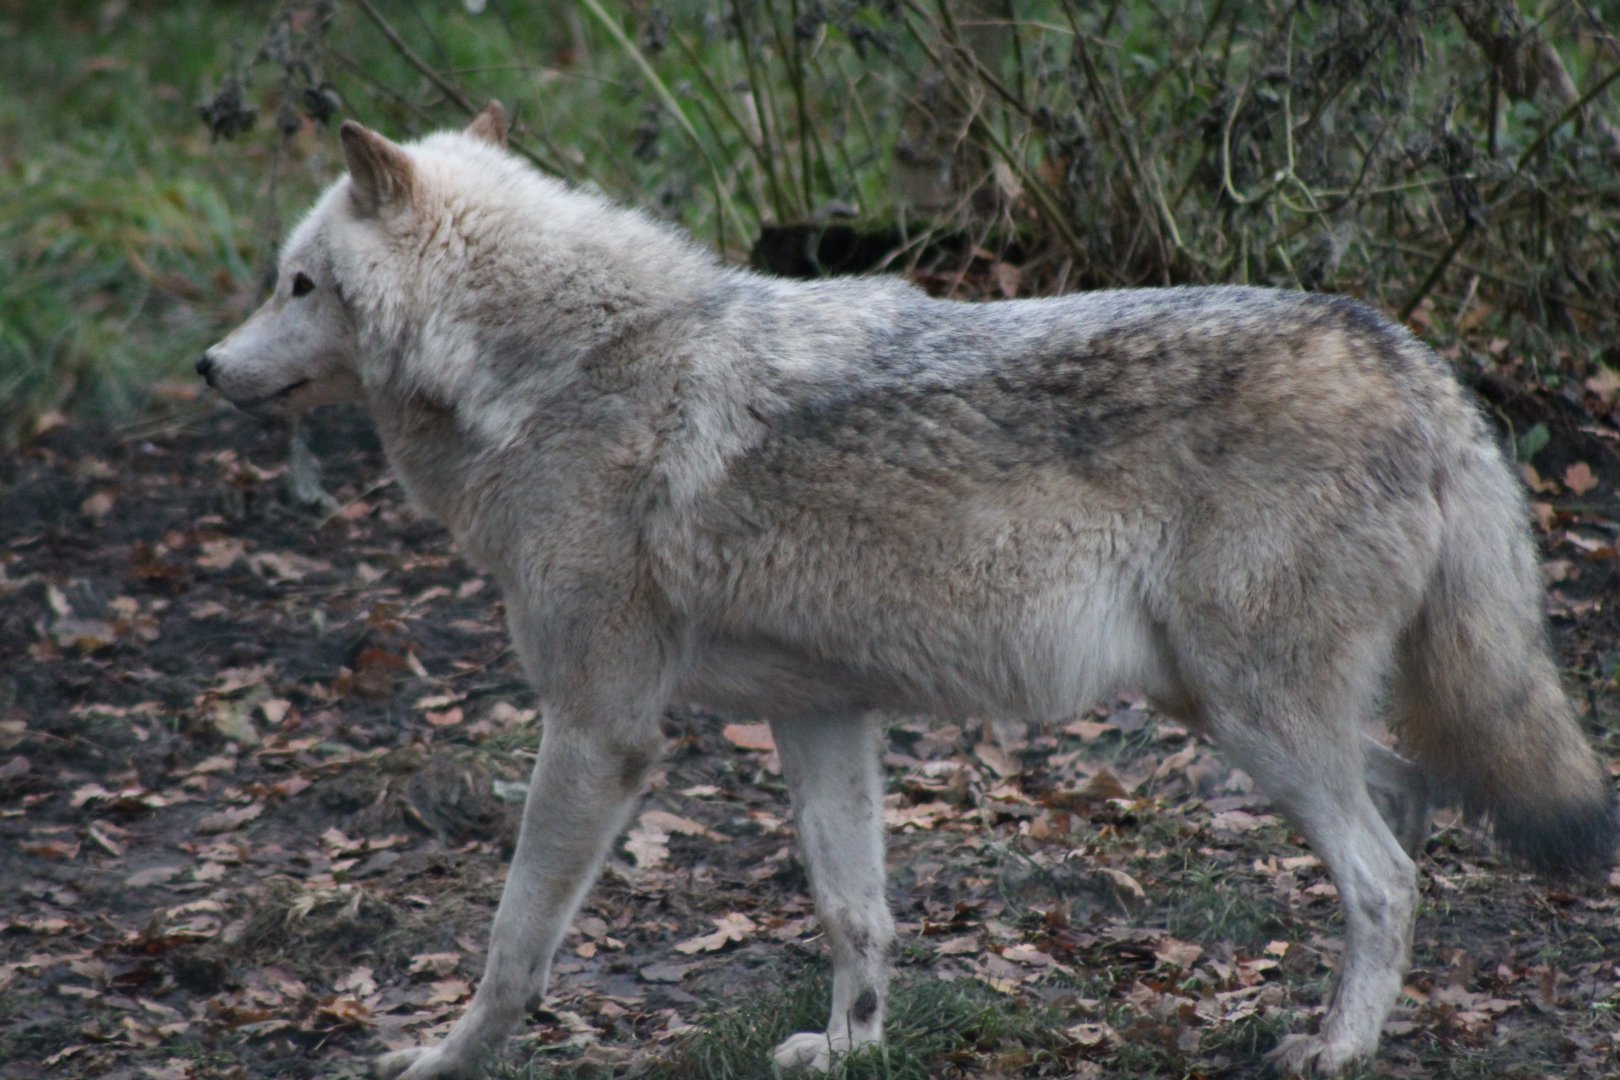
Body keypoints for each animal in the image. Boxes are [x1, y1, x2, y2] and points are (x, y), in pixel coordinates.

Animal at [198, 102, 1615, 1078]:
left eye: (297, 284)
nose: (209, 366)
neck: (557, 372)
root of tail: (1416, 360)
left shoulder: (601, 732)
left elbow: (511, 944)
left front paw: (442, 1059)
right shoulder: (822, 715)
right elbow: (854, 913)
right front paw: (854, 1046)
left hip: (1250, 717)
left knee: (1388, 872)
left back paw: (1340, 1046)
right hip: (1230, 713)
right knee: (1408, 806)